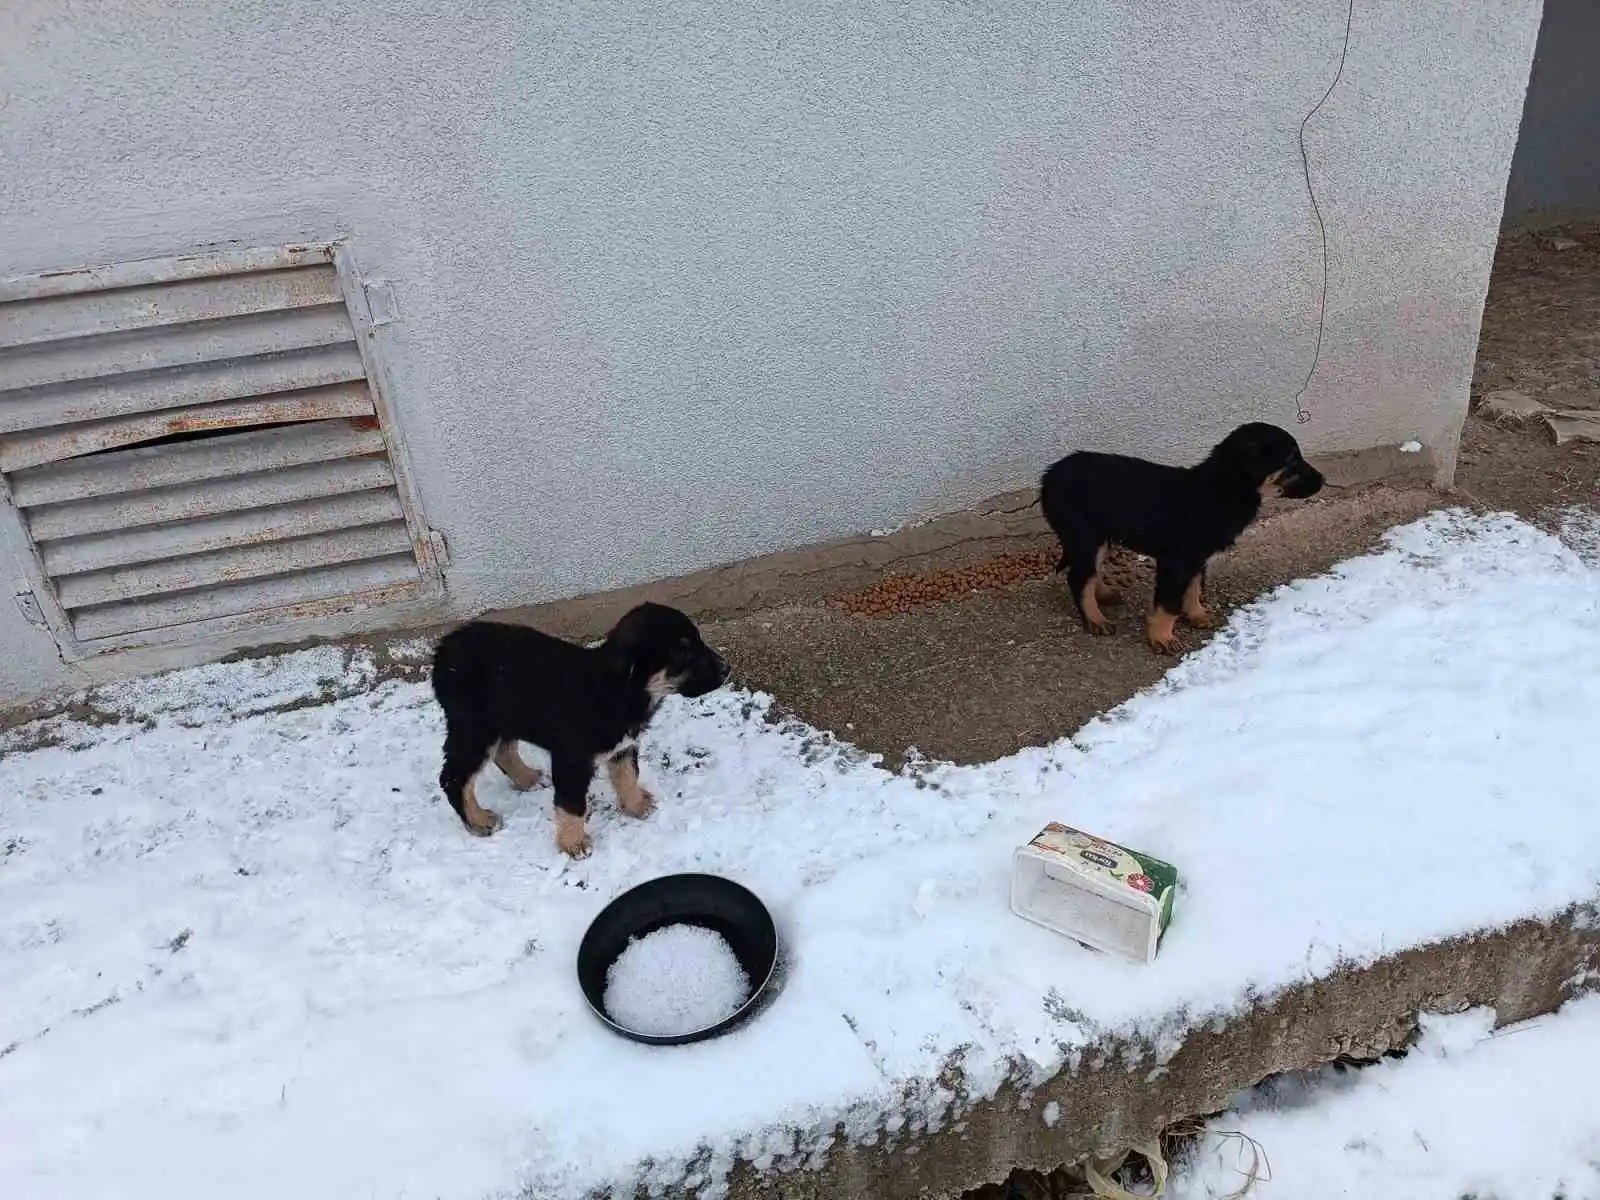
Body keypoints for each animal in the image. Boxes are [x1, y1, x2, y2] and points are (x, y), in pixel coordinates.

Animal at [425, 604, 726, 857]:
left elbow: (628, 776)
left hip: (502, 718)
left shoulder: (623, 746)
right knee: (453, 777)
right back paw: (478, 820)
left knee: (503, 751)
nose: (726, 669)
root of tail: (444, 650)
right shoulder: (572, 760)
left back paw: (527, 778)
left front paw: (636, 805)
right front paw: (573, 843)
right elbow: (571, 804)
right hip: (474, 727)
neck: (618, 690)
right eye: (682, 652)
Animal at [1036, 419, 1324, 652]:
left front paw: (1197, 615)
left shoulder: (1196, 558)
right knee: (1078, 577)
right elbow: (1168, 603)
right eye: (1291, 461)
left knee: (1089, 571)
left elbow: (1193, 588)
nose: (1323, 480)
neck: (1223, 490)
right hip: (1086, 534)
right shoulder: (1176, 560)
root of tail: (1048, 477)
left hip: (1100, 536)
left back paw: (1104, 595)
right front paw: (1162, 637)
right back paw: (1095, 619)